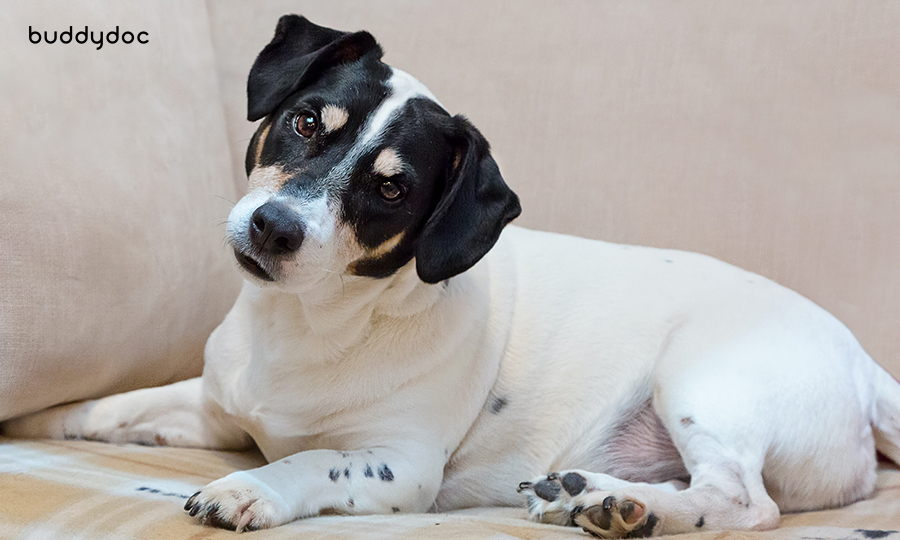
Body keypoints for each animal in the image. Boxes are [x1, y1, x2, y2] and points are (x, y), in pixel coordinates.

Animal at [8, 15, 900, 536]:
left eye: (391, 190)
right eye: (305, 121)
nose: (273, 227)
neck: (307, 328)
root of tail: (863, 363)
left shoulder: (397, 466)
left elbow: (303, 462)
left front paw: (249, 489)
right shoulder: (215, 408)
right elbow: (118, 408)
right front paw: (49, 415)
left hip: (702, 381)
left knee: (744, 501)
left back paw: (621, 506)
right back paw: (593, 495)